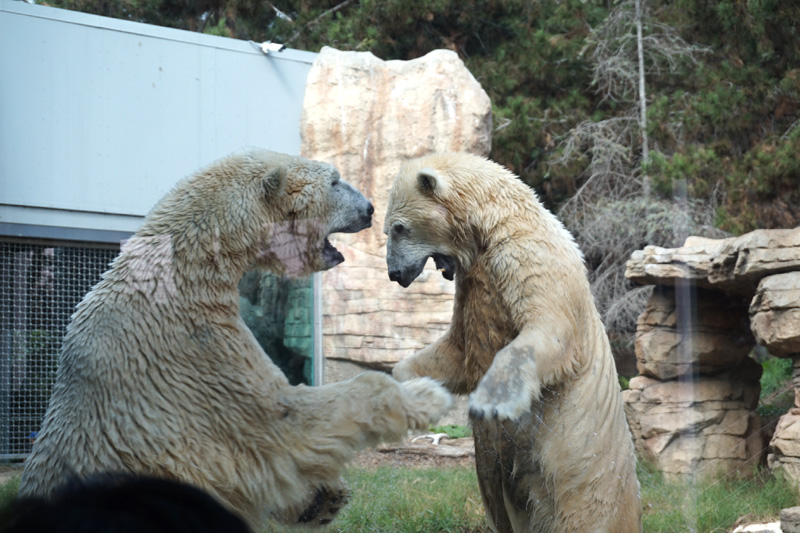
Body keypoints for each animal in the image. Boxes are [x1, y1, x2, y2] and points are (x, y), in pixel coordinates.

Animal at [18, 148, 453, 529]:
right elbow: (280, 421)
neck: (181, 274)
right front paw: (426, 394)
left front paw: (322, 501)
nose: (370, 208)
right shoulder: (199, 356)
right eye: (334, 179)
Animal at [384, 152, 641, 532]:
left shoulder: (527, 257)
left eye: (398, 228)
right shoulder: (471, 283)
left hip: (584, 466)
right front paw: (408, 390)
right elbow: (456, 352)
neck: (493, 228)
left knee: (585, 511)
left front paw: (492, 400)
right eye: (389, 229)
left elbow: (549, 330)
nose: (393, 274)